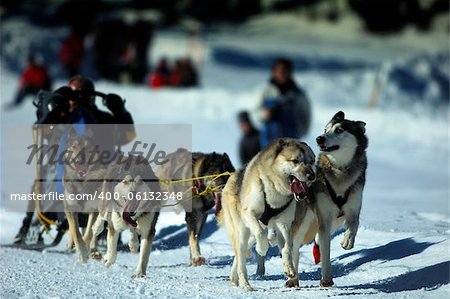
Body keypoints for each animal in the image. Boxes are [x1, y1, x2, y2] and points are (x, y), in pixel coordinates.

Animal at [217, 139, 314, 292]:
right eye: (295, 161)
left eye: (312, 161)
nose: (312, 176)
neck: (275, 192)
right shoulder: (250, 213)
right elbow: (261, 233)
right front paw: (262, 248)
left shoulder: (284, 224)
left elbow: (287, 247)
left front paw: (289, 268)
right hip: (243, 232)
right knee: (241, 259)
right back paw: (245, 284)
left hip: (253, 235)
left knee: (240, 255)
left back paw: (234, 276)